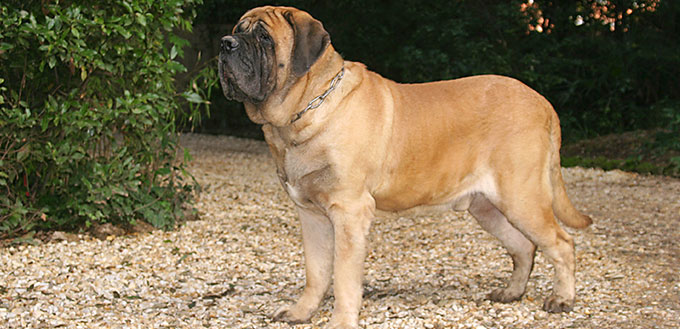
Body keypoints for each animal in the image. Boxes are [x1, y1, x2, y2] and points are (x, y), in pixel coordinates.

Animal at [218, 5, 588, 328]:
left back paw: (562, 299)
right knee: (524, 247)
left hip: (522, 198)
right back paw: (512, 292)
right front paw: (301, 312)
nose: (225, 44)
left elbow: (343, 277)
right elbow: (316, 272)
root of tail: (543, 103)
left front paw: (341, 320)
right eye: (238, 29)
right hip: (488, 207)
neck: (305, 110)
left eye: (264, 38)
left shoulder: (349, 212)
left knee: (562, 243)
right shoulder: (311, 215)